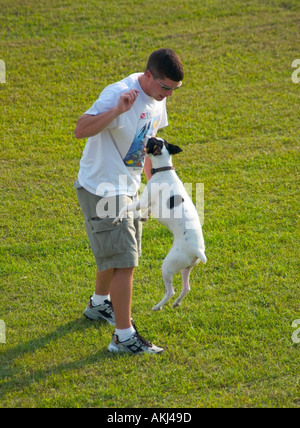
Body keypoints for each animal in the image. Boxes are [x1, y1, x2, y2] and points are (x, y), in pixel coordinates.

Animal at [113, 138, 206, 310]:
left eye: (150, 141)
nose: (146, 136)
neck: (164, 169)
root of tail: (198, 251)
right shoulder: (149, 203)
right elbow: (149, 209)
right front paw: (143, 217)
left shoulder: (142, 201)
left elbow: (126, 207)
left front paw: (117, 219)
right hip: (185, 268)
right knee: (186, 288)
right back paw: (176, 303)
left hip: (168, 266)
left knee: (171, 291)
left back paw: (158, 306)